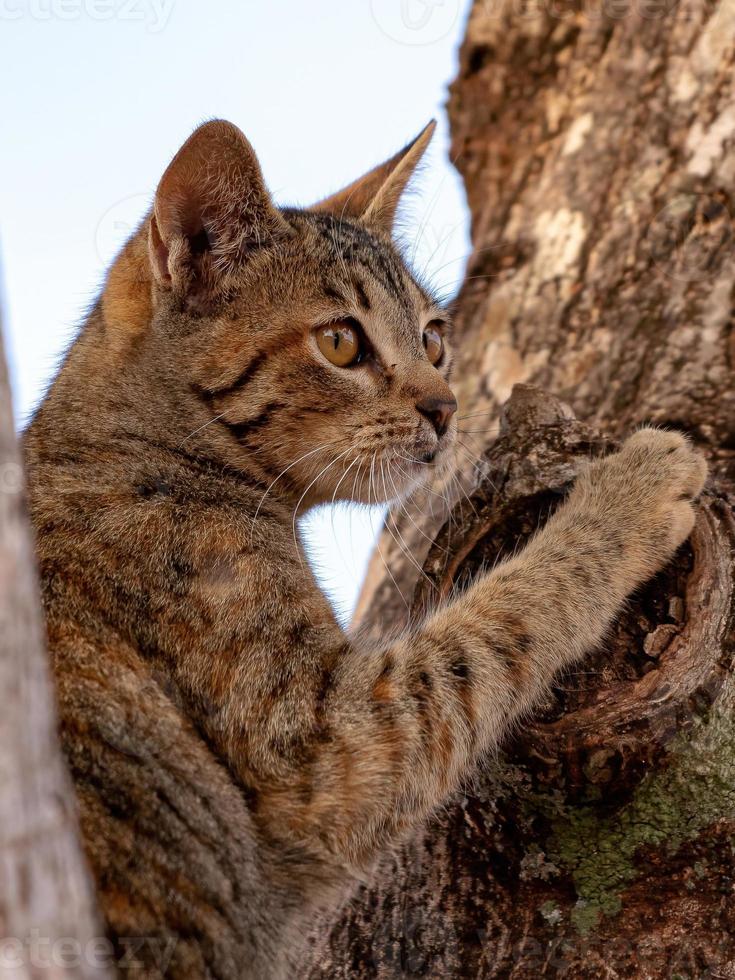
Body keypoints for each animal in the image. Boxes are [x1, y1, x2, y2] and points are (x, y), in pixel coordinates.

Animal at [24, 118, 708, 976]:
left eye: (433, 337)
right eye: (341, 343)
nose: (446, 407)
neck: (126, 443)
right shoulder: (327, 749)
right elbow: (501, 619)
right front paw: (631, 489)